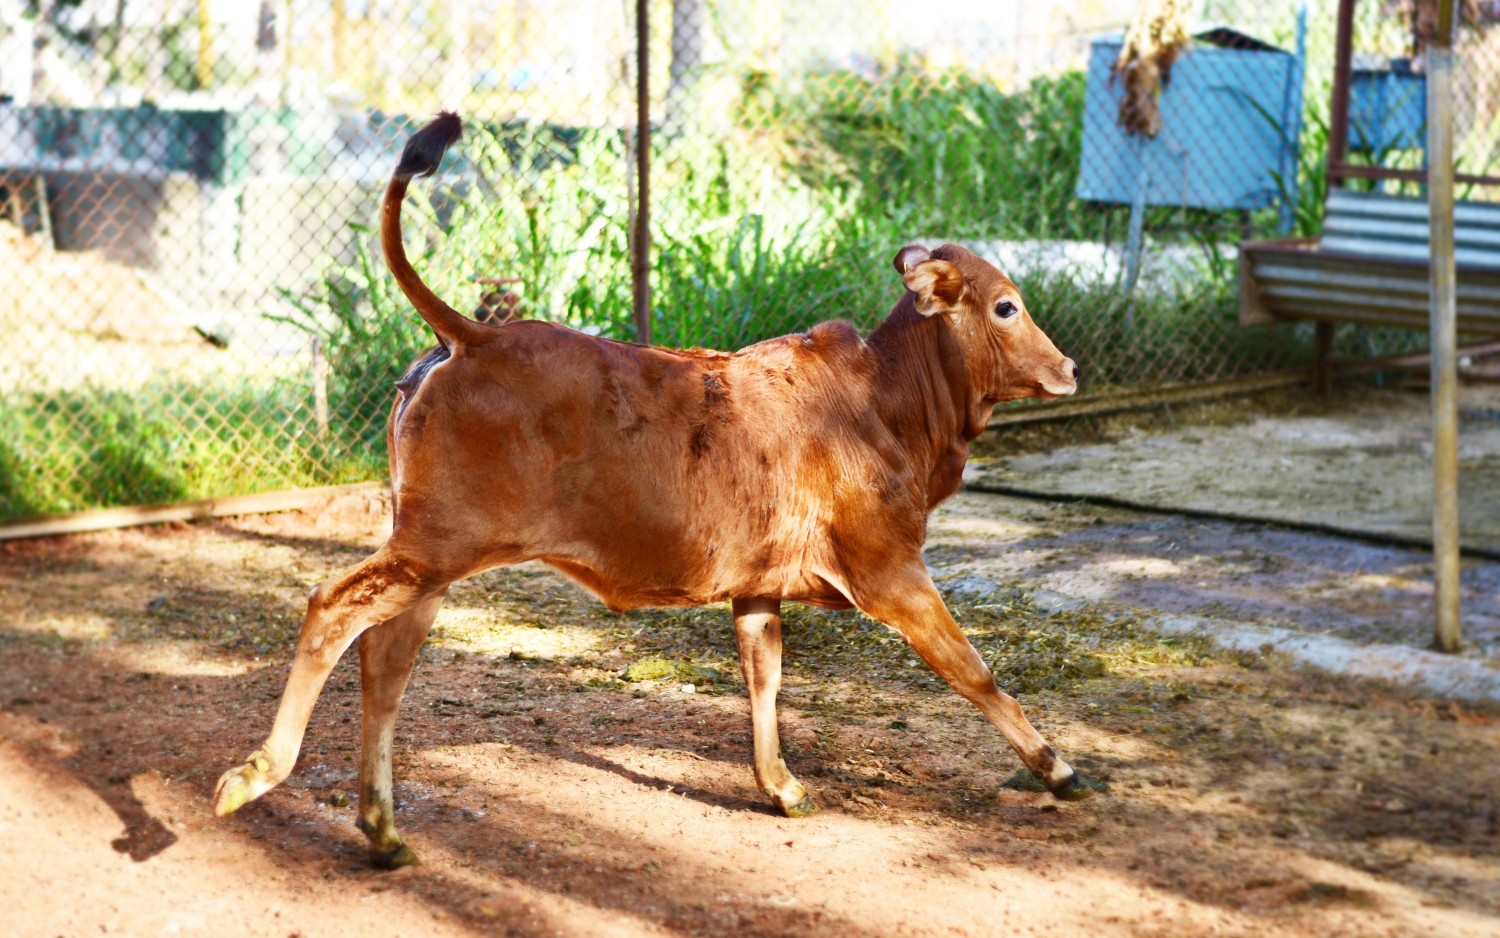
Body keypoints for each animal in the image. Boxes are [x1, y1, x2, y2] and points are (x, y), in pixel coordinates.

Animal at [211, 113, 1086, 864]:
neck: (886, 399)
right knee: (331, 610)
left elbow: (764, 678)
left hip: (432, 557)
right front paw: (1057, 767)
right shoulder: (889, 570)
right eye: (1006, 306)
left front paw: (781, 786)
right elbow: (972, 670)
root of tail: (475, 333)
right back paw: (256, 775)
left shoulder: (758, 587)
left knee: (386, 662)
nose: (1069, 367)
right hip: (433, 547)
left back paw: (384, 828)